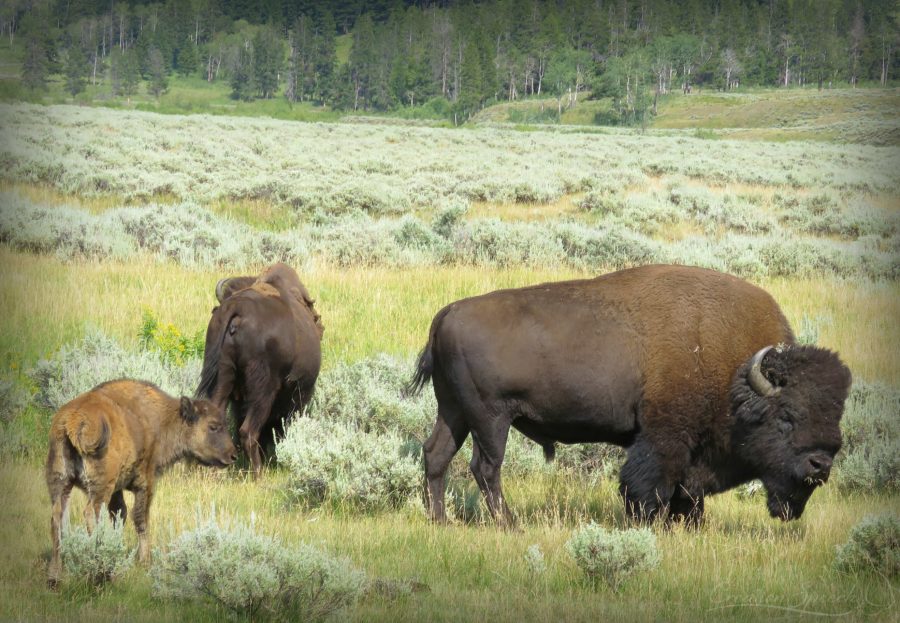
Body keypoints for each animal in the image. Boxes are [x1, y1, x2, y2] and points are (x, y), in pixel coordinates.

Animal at [46, 378, 237, 588]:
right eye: (213, 426)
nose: (232, 455)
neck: (164, 419)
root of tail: (72, 420)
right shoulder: (146, 483)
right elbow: (141, 518)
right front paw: (145, 562)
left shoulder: (117, 489)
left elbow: (119, 514)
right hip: (99, 487)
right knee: (90, 514)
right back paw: (101, 572)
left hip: (60, 483)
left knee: (57, 518)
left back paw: (55, 576)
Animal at [408, 264, 852, 528]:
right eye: (787, 416)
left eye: (837, 416)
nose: (821, 464)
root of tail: (447, 313)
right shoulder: (664, 438)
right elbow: (650, 486)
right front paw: (645, 524)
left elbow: (687, 493)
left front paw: (686, 526)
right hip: (490, 419)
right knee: (486, 468)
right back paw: (510, 525)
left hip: (454, 412)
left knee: (436, 455)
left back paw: (440, 521)